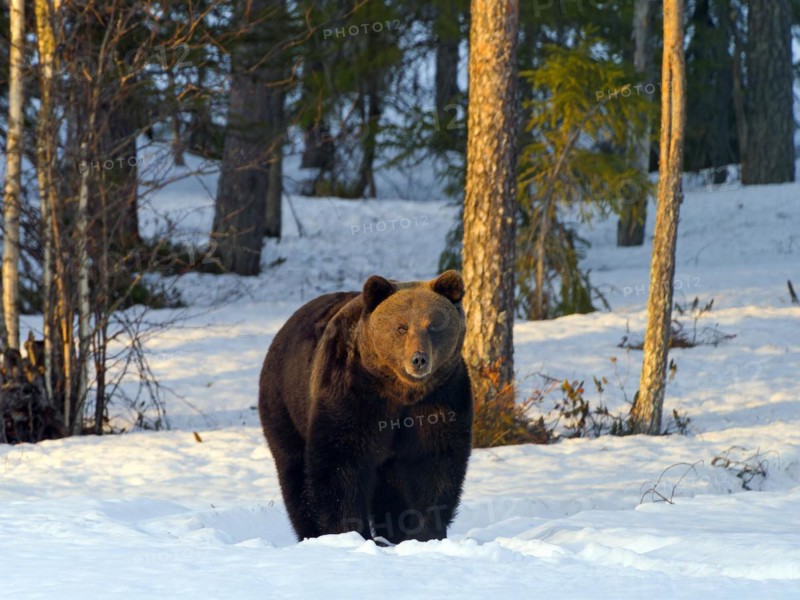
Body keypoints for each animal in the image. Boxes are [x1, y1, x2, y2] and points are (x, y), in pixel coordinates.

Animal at [258, 270, 473, 544]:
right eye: (401, 327)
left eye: (433, 325)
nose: (419, 359)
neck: (401, 391)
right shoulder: (353, 393)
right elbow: (340, 461)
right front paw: (349, 532)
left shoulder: (441, 397)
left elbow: (434, 462)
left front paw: (424, 533)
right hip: (286, 403)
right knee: (294, 471)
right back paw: (310, 532)